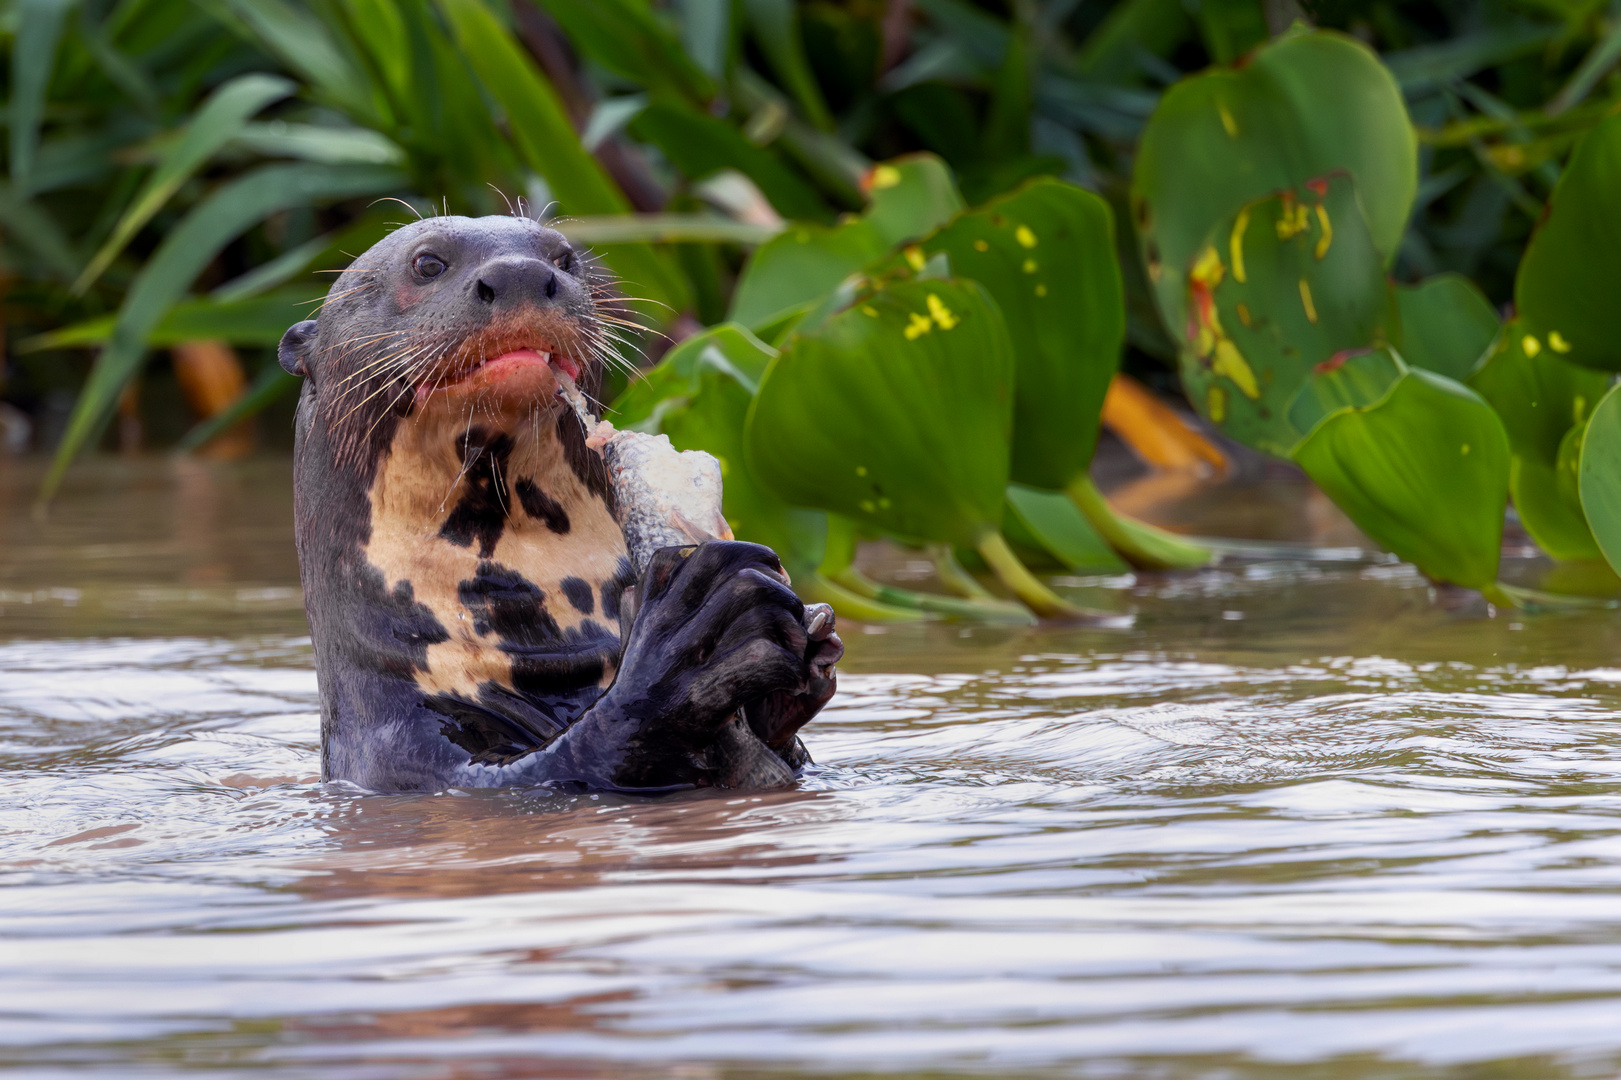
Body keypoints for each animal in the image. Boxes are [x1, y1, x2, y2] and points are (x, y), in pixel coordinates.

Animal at [278, 217, 842, 791]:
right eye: (428, 263)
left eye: (564, 257)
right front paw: (697, 634)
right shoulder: (404, 754)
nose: (521, 273)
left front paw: (810, 643)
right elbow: (574, 761)